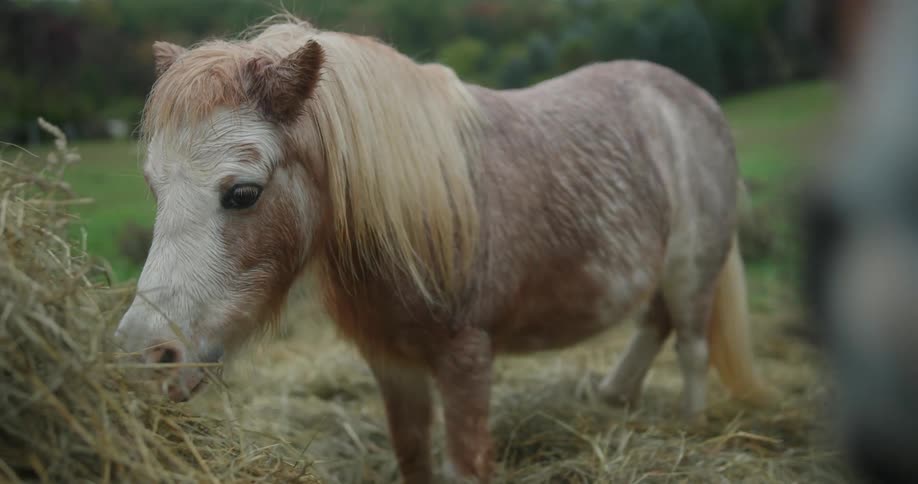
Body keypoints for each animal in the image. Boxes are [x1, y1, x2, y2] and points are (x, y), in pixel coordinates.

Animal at [114, 15, 770, 483]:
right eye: (152, 187)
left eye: (243, 193)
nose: (146, 356)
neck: (414, 214)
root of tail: (693, 99)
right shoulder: (392, 363)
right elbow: (413, 458)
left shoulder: (467, 360)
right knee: (655, 322)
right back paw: (612, 397)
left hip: (693, 270)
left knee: (690, 346)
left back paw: (690, 428)